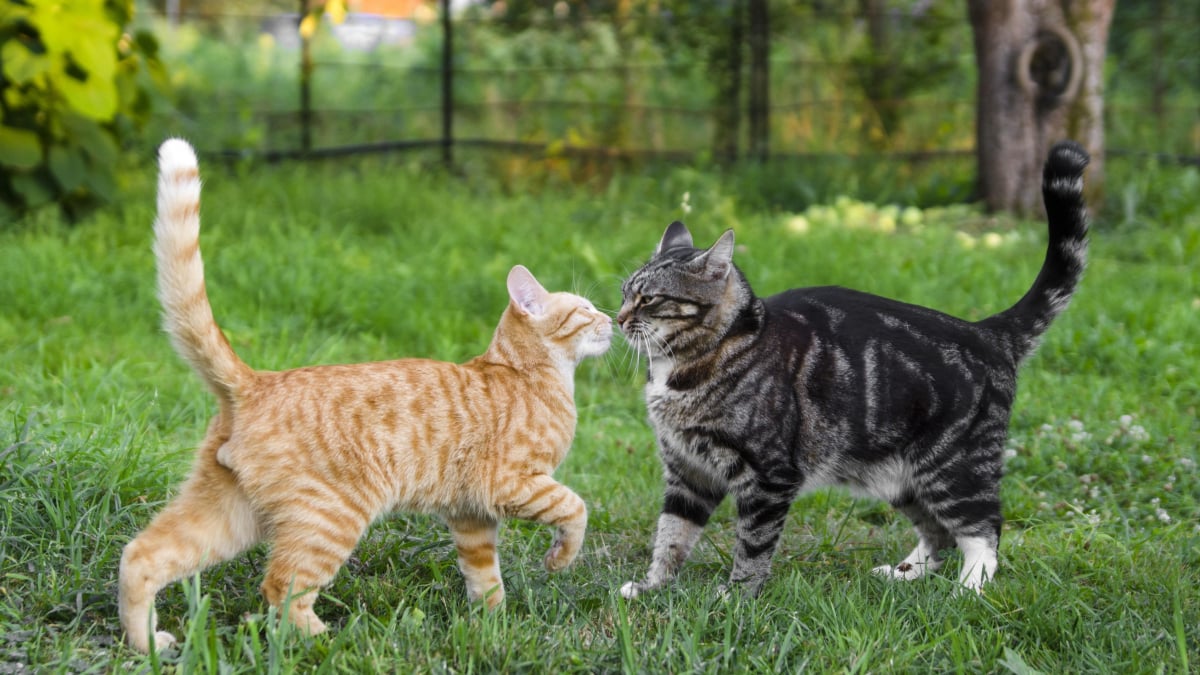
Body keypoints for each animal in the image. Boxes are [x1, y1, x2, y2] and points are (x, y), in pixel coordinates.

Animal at [118, 138, 614, 653]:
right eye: (584, 309)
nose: (613, 319)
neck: (528, 374)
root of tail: (256, 380)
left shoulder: (470, 515)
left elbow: (485, 579)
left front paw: (492, 629)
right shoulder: (510, 483)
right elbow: (575, 509)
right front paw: (559, 561)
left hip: (228, 515)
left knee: (142, 554)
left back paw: (147, 643)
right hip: (330, 517)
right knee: (281, 586)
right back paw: (333, 641)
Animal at [619, 140, 1089, 593]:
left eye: (649, 298)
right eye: (625, 292)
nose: (620, 318)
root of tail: (985, 331)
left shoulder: (768, 476)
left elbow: (752, 546)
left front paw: (737, 597)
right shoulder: (687, 470)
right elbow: (672, 534)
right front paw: (652, 587)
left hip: (953, 467)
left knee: (982, 530)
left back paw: (971, 587)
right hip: (902, 477)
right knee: (938, 532)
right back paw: (905, 573)